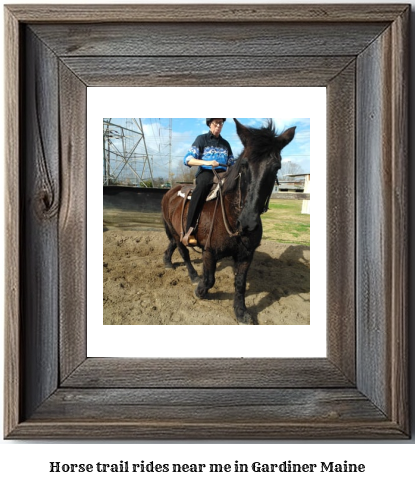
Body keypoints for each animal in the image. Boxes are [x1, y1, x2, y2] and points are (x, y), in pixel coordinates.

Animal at [160, 118, 296, 324]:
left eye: (276, 167)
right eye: (245, 164)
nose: (248, 222)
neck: (232, 216)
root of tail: (171, 192)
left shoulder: (246, 255)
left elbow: (240, 283)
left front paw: (241, 312)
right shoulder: (209, 251)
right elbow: (209, 280)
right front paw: (199, 291)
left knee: (173, 244)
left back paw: (167, 261)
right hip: (177, 232)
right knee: (183, 252)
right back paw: (192, 275)